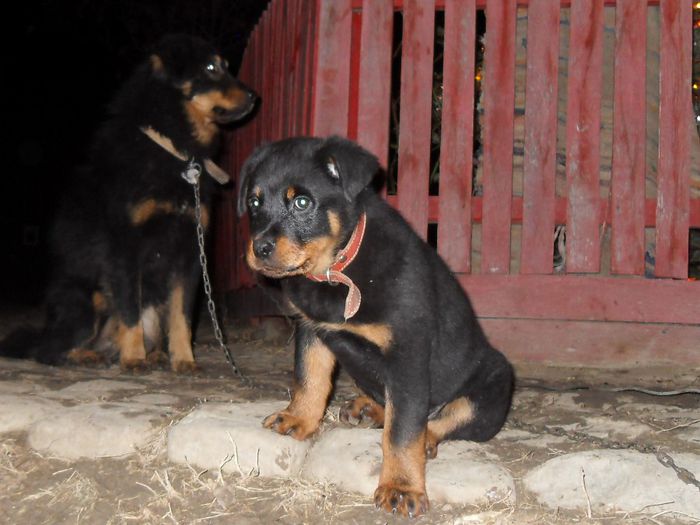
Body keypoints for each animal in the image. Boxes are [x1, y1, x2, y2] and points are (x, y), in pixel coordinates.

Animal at [0, 33, 258, 368]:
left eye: (225, 66)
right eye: (211, 68)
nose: (254, 97)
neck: (173, 146)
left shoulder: (189, 252)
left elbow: (182, 316)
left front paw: (184, 360)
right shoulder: (125, 248)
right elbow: (129, 309)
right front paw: (134, 358)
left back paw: (153, 354)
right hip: (90, 298)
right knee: (49, 351)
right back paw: (90, 355)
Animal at [237, 135, 516, 516]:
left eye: (302, 202)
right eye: (254, 202)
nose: (260, 248)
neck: (337, 272)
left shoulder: (407, 355)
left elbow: (402, 431)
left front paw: (401, 487)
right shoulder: (313, 330)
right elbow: (310, 380)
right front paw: (298, 419)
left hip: (493, 385)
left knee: (441, 419)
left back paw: (423, 438)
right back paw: (368, 408)